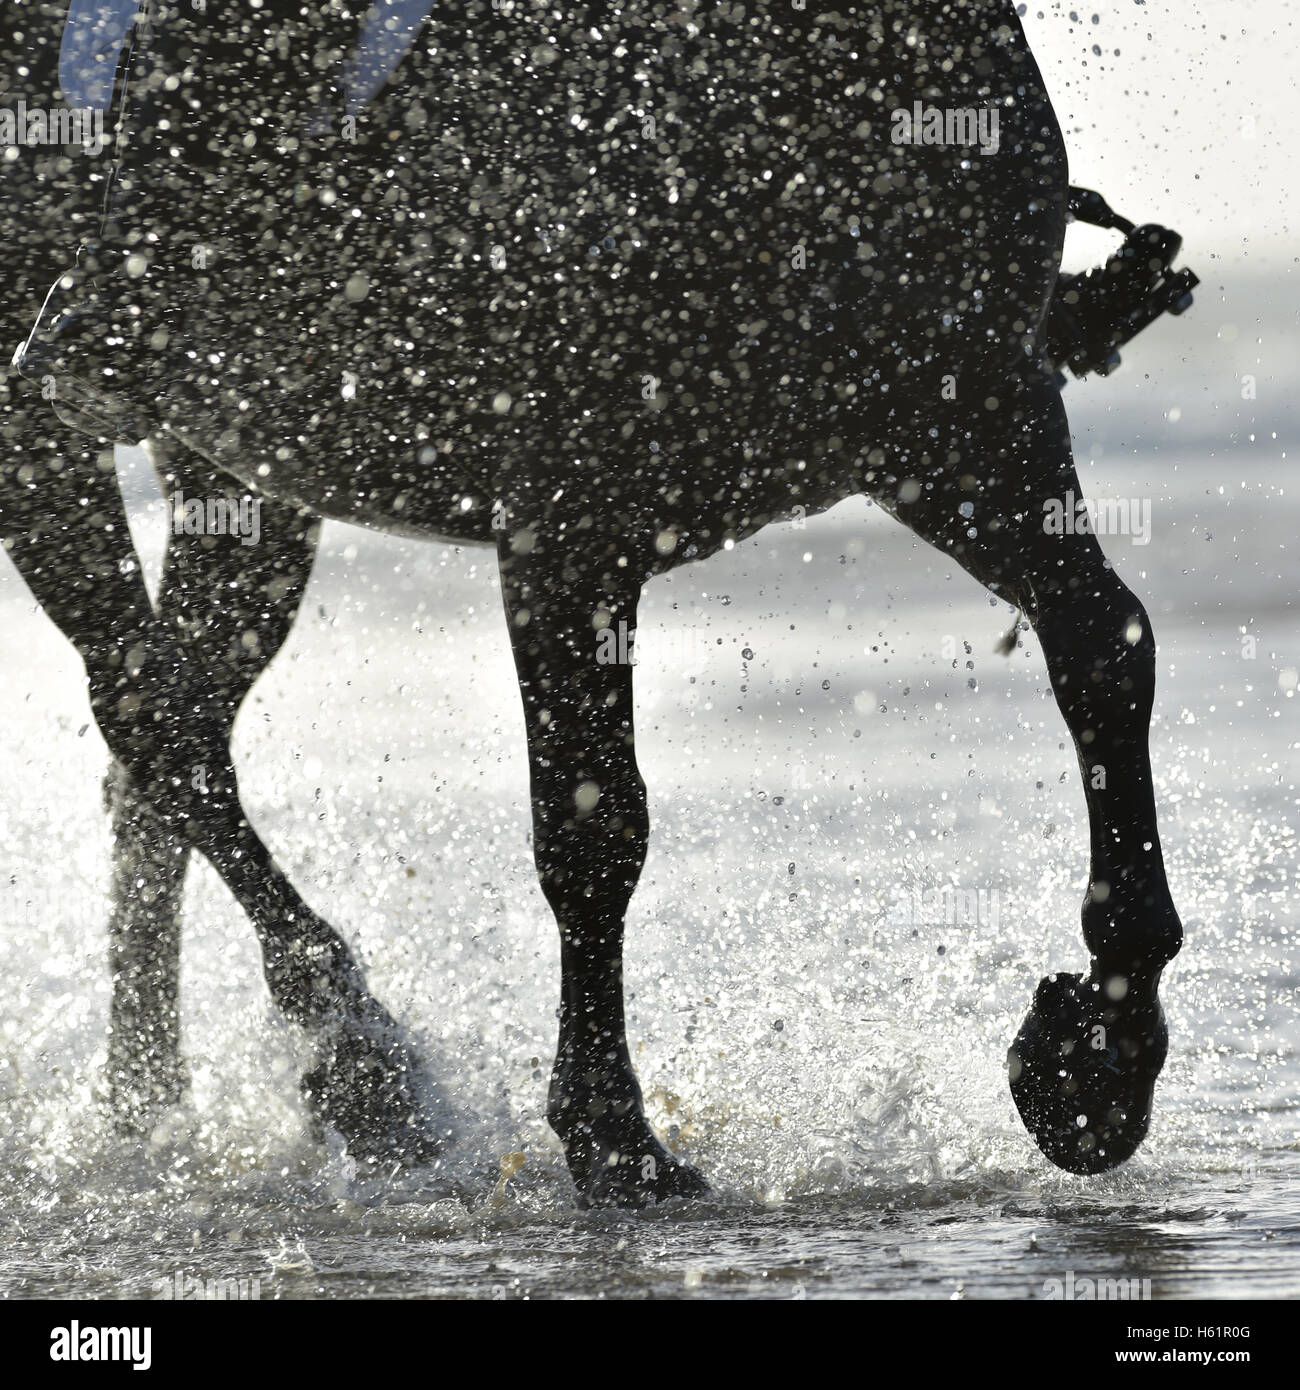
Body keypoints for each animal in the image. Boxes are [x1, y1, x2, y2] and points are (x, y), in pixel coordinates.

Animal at [0, 2, 1184, 1206]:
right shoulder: (567, 523)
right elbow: (592, 821)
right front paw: (615, 1133)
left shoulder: (964, 422)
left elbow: (1104, 648)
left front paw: (1101, 1051)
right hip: (44, 443)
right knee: (153, 718)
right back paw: (357, 1058)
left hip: (241, 482)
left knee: (158, 747)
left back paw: (150, 1098)